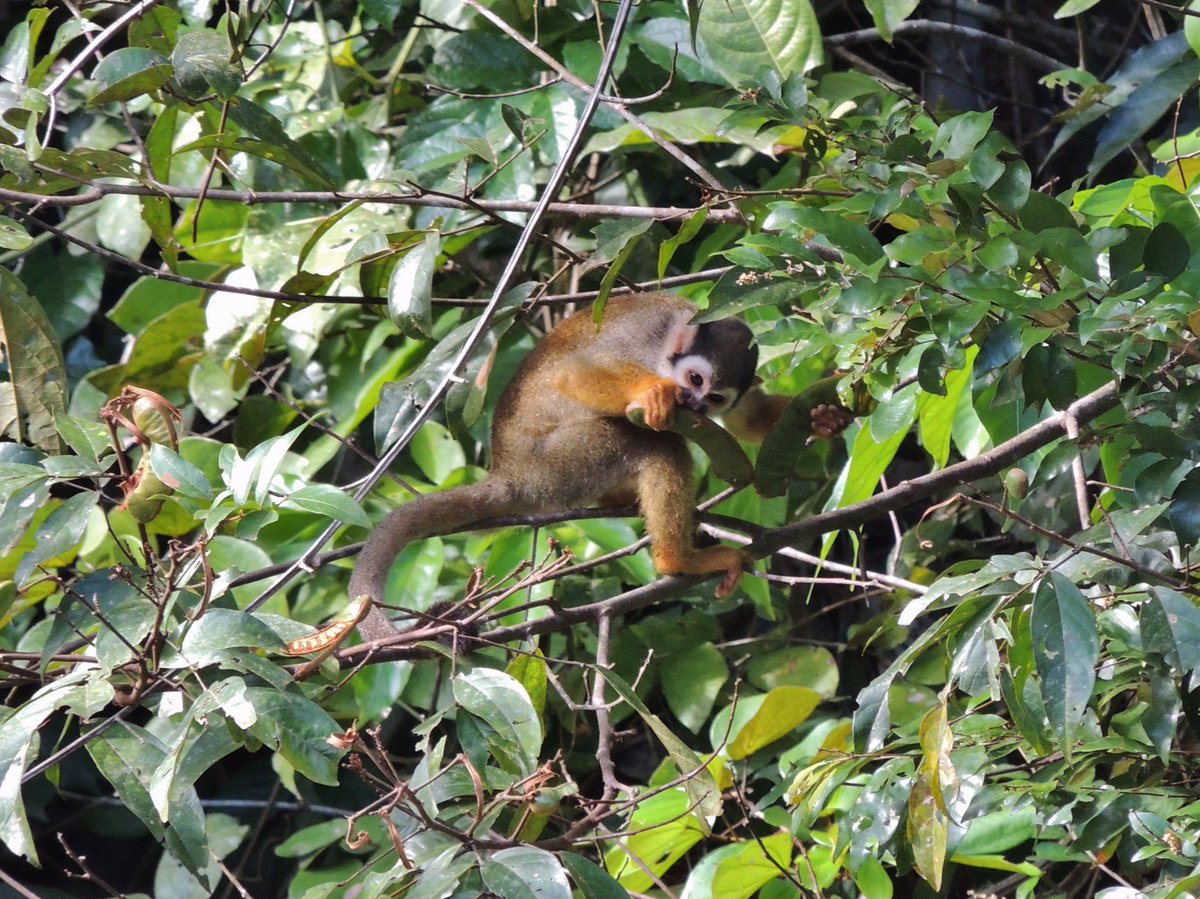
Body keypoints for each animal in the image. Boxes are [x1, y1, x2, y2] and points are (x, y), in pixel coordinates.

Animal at [284, 292, 768, 665]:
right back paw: (676, 561)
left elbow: (747, 419)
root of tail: (511, 474)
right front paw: (651, 392)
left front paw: (787, 423)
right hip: (563, 462)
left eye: (715, 396)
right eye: (693, 378)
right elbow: (574, 374)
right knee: (659, 446)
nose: (694, 403)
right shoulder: (642, 341)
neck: (670, 339)